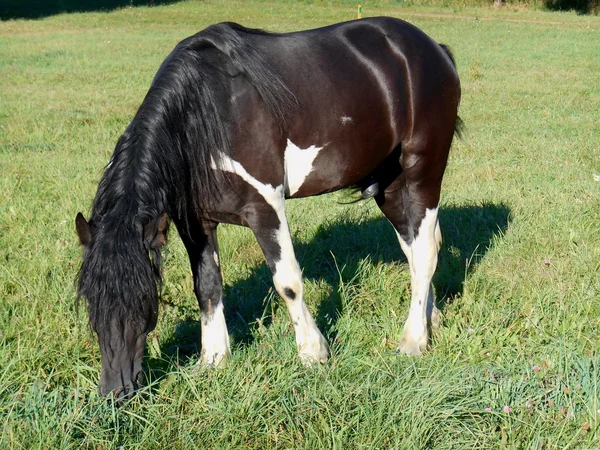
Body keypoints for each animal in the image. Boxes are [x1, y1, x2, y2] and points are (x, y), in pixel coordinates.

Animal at [74, 16, 460, 398]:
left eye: (145, 300)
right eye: (90, 301)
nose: (115, 392)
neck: (207, 112)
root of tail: (433, 49)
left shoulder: (265, 208)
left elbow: (287, 281)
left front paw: (313, 352)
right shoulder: (196, 224)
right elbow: (207, 287)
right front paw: (213, 360)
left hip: (422, 170)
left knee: (425, 251)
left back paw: (413, 340)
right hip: (391, 184)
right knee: (414, 248)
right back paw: (429, 317)